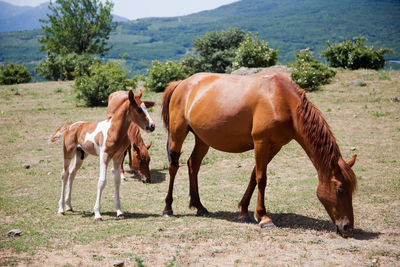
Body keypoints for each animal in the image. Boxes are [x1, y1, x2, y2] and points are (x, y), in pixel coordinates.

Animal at [49, 91, 155, 221]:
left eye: (146, 107)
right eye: (139, 109)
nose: (152, 126)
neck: (114, 130)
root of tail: (70, 125)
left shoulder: (118, 157)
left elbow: (117, 181)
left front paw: (119, 211)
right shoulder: (104, 156)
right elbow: (102, 181)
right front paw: (97, 213)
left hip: (80, 155)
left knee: (72, 174)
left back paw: (69, 206)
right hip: (68, 153)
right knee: (64, 175)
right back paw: (61, 209)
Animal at [161, 70, 358, 238]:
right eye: (340, 189)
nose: (347, 227)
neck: (282, 99)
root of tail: (181, 83)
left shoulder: (275, 146)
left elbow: (253, 176)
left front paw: (244, 211)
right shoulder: (261, 142)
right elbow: (261, 178)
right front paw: (264, 218)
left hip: (202, 139)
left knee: (193, 164)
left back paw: (199, 206)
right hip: (178, 133)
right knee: (173, 167)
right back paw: (168, 208)